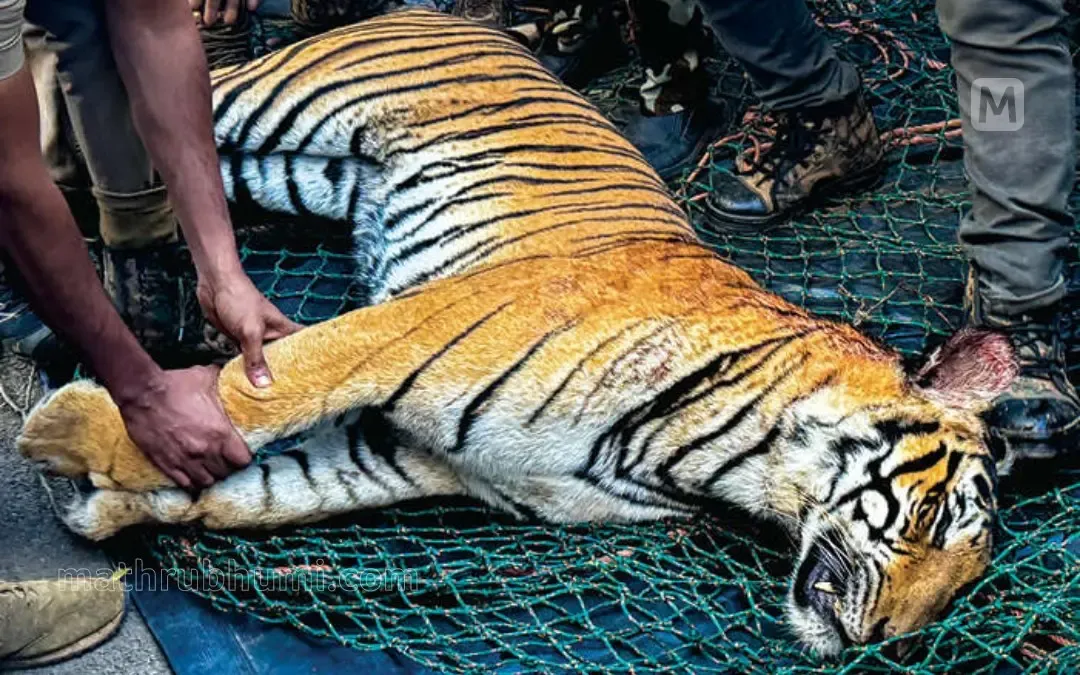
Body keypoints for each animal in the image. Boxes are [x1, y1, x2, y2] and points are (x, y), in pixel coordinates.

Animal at [16, 7, 1018, 656]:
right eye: (933, 518)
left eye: (958, 591)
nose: (887, 640)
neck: (728, 470)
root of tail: (465, 16)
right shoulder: (414, 330)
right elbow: (268, 388)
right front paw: (74, 431)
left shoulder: (410, 454)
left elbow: (253, 491)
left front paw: (100, 501)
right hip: (264, 98)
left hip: (280, 167)